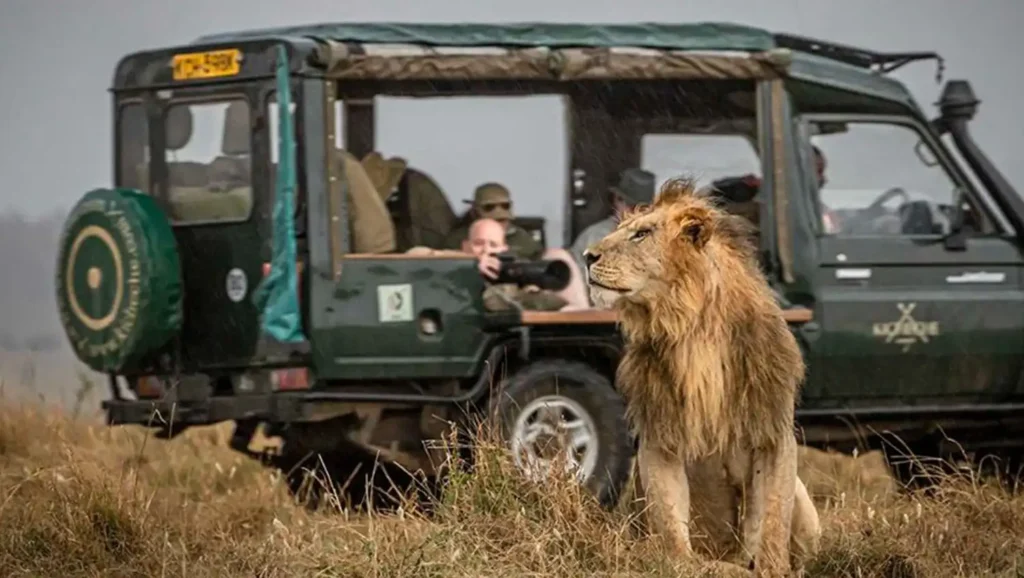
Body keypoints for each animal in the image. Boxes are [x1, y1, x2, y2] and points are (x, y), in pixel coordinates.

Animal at [585, 178, 815, 573]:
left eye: (641, 234)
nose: (587, 256)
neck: (693, 329)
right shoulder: (659, 436)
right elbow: (672, 528)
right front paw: (694, 565)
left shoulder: (772, 430)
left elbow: (771, 522)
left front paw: (769, 568)